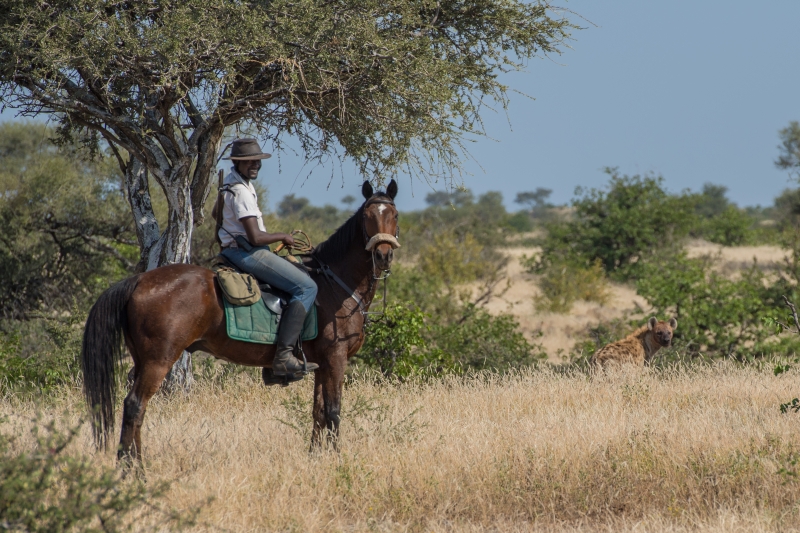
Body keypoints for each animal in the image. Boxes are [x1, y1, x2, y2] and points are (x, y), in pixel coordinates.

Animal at [81, 180, 400, 461]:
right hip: (158, 360)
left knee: (134, 409)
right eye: (367, 217)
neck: (335, 284)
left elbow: (318, 411)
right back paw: (133, 471)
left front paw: (315, 458)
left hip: (141, 359)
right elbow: (334, 411)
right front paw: (335, 461)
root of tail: (139, 280)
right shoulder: (336, 358)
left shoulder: (322, 363)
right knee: (135, 406)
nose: (382, 255)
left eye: (394, 216)